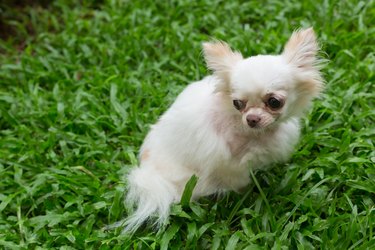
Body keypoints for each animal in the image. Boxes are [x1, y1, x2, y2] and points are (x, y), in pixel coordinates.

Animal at [123, 27, 324, 232]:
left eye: (274, 102)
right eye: (237, 103)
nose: (251, 118)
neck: (252, 132)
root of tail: (147, 170)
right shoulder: (229, 162)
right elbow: (238, 179)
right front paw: (247, 192)